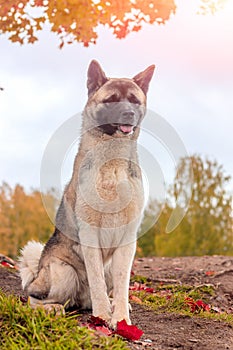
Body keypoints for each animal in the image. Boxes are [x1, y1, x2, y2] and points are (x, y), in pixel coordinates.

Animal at [19, 60, 155, 328]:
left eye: (134, 100)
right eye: (111, 99)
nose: (128, 114)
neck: (112, 166)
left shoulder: (127, 240)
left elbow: (122, 286)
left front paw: (120, 319)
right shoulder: (90, 234)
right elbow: (96, 280)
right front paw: (102, 317)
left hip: (108, 266)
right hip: (64, 272)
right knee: (35, 299)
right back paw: (55, 308)